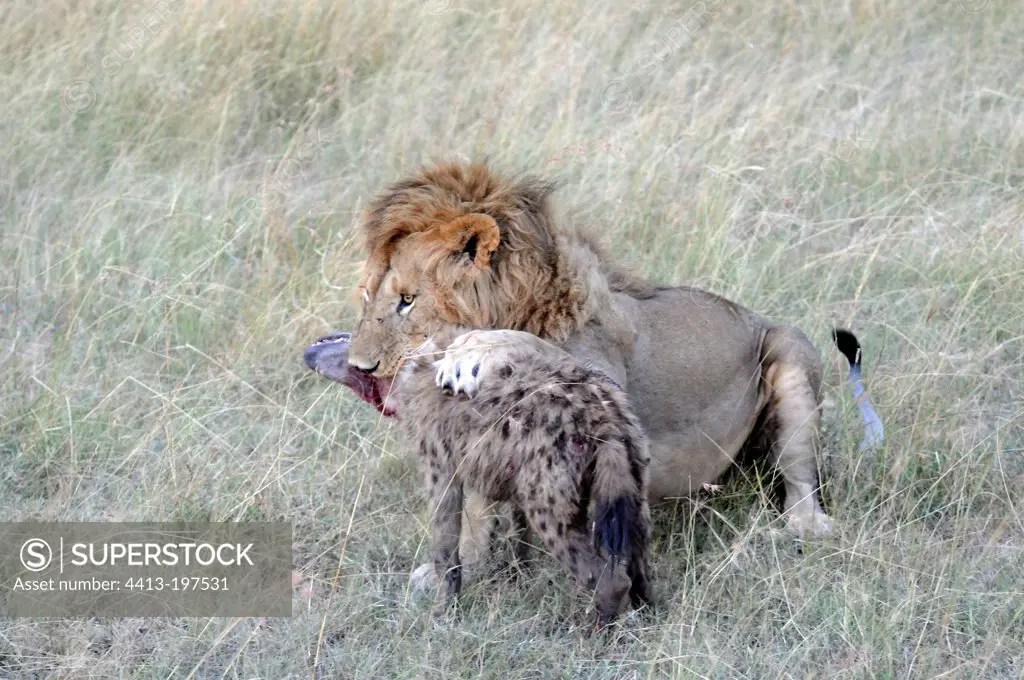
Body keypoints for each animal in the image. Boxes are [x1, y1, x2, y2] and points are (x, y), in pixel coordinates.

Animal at [305, 329, 654, 625]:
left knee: (609, 578)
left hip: (550, 503)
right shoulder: (514, 476)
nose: (309, 353)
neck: (412, 370)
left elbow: (445, 547)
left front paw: (442, 615)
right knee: (638, 558)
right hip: (631, 478)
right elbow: (516, 534)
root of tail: (605, 421)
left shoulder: (439, 465)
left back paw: (594, 633)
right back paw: (646, 613)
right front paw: (518, 576)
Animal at [308, 161, 883, 587]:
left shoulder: (611, 401)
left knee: (803, 491)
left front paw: (475, 350)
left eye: (407, 300)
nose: (359, 365)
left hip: (789, 350)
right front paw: (458, 568)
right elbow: (473, 512)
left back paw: (787, 531)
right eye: (367, 298)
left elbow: (533, 348)